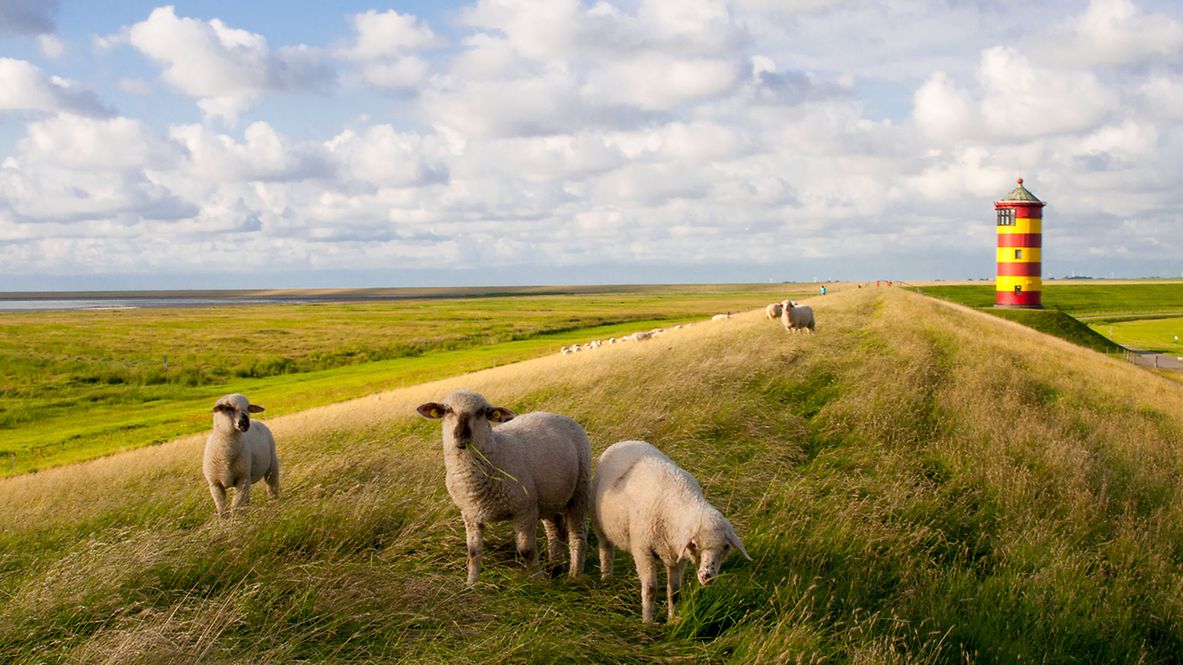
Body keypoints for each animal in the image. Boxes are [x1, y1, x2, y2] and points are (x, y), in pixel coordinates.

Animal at [417, 390, 592, 586]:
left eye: (481, 412)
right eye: (447, 410)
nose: (461, 436)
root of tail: (554, 414)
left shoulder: (525, 510)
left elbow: (527, 551)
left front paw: (538, 583)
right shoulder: (470, 514)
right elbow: (473, 553)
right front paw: (471, 585)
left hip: (579, 489)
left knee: (577, 534)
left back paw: (574, 575)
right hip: (548, 498)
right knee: (555, 531)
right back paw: (555, 568)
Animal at [592, 440, 751, 623]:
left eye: (726, 547)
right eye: (695, 544)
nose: (708, 577)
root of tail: (628, 441)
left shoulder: (677, 555)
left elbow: (674, 591)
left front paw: (672, 620)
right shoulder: (643, 550)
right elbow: (650, 589)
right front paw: (647, 622)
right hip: (600, 525)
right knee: (606, 550)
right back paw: (606, 578)